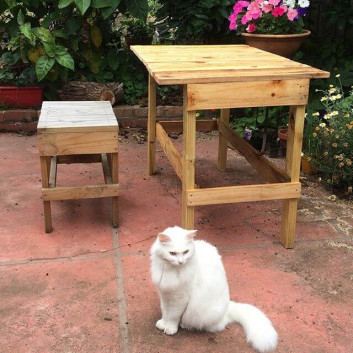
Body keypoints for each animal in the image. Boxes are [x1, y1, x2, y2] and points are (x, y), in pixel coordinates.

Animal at [148, 226, 278, 352]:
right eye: (172, 253)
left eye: (186, 252)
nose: (181, 262)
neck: (169, 270)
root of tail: (228, 306)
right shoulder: (165, 294)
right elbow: (165, 311)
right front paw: (163, 323)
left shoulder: (180, 299)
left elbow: (173, 316)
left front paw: (170, 328)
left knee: (219, 324)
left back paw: (185, 325)